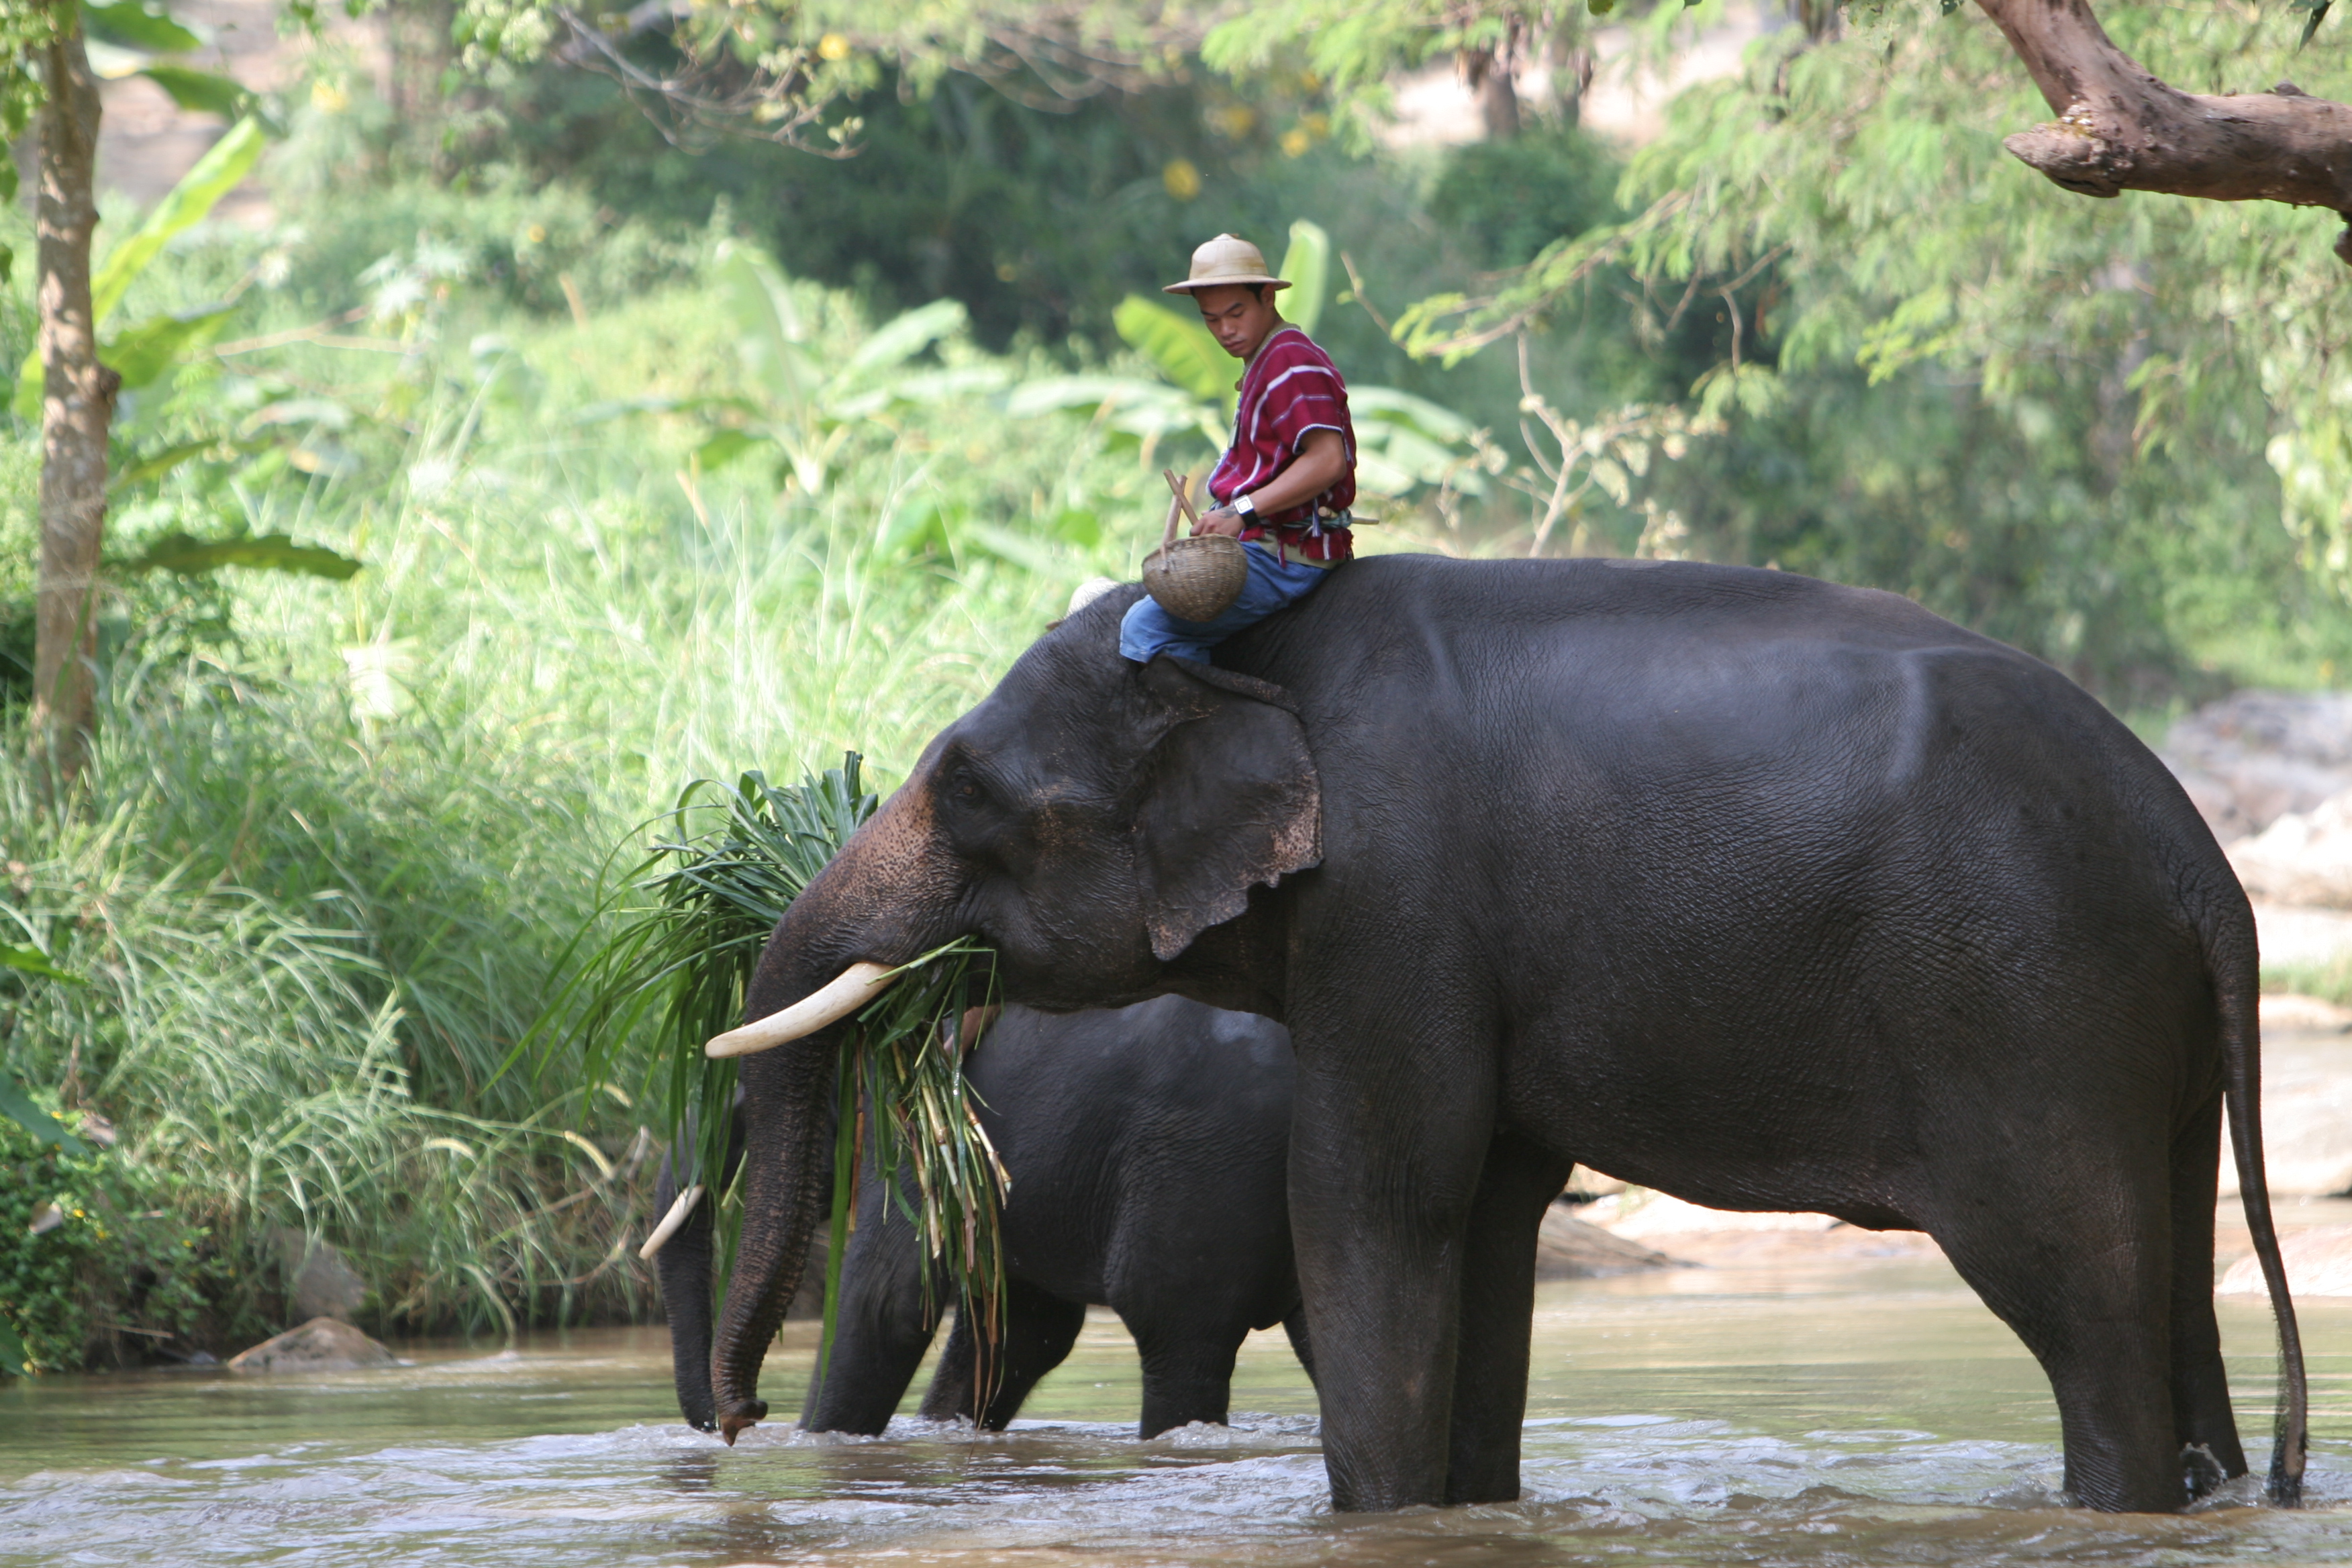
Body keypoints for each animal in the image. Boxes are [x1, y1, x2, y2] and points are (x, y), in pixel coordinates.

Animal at [650, 996, 1313, 1438]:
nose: (741, 1419)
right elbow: (1024, 1329)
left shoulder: (910, 1129)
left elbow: (882, 1305)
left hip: (1205, 1157)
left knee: (1174, 1327)